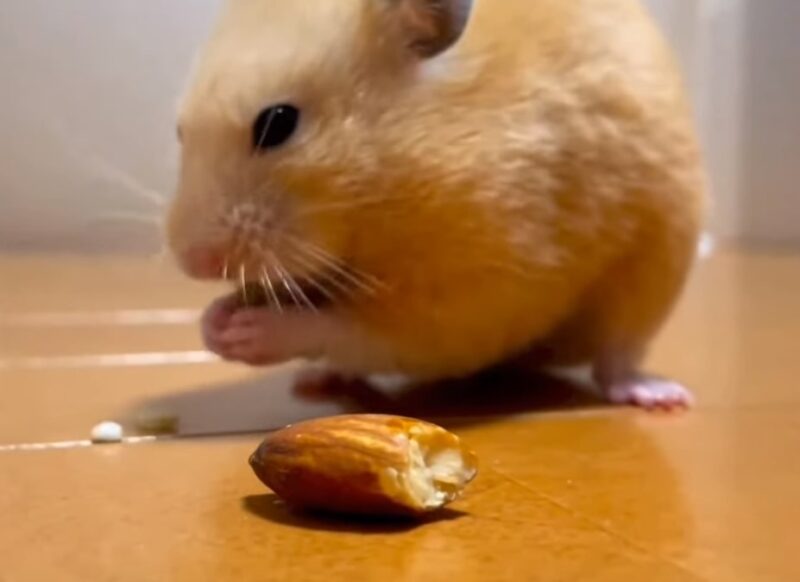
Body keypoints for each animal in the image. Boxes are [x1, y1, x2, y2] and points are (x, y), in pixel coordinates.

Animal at [166, 0, 708, 410]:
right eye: (180, 131)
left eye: (278, 123)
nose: (194, 262)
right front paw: (214, 321)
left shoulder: (471, 295)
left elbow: (342, 326)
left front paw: (245, 329)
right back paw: (316, 381)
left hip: (654, 270)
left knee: (617, 358)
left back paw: (663, 397)